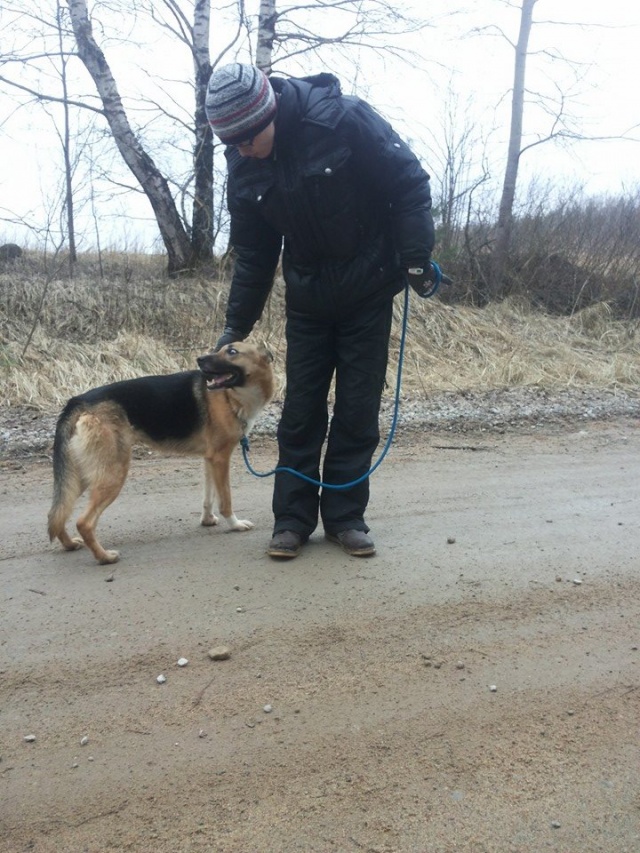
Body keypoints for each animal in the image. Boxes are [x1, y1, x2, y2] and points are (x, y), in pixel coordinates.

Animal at [47, 342, 274, 565]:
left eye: (232, 351)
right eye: (224, 349)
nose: (199, 359)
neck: (232, 396)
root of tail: (78, 401)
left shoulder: (210, 459)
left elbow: (208, 498)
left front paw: (207, 520)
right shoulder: (220, 459)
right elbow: (225, 500)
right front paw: (235, 524)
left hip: (81, 476)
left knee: (58, 514)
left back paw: (70, 544)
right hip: (112, 474)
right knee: (83, 522)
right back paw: (105, 557)